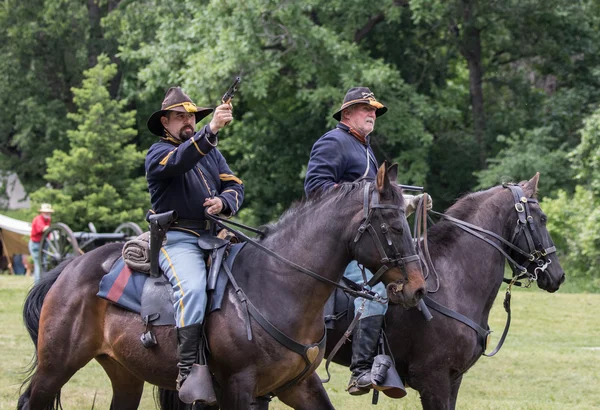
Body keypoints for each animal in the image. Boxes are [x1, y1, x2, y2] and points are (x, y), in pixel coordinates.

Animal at [16, 164, 424, 410]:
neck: (278, 285)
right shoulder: (238, 387)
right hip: (55, 367)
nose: (417, 289)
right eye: (391, 226)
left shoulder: (298, 385)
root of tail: (69, 267)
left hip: (125, 374)